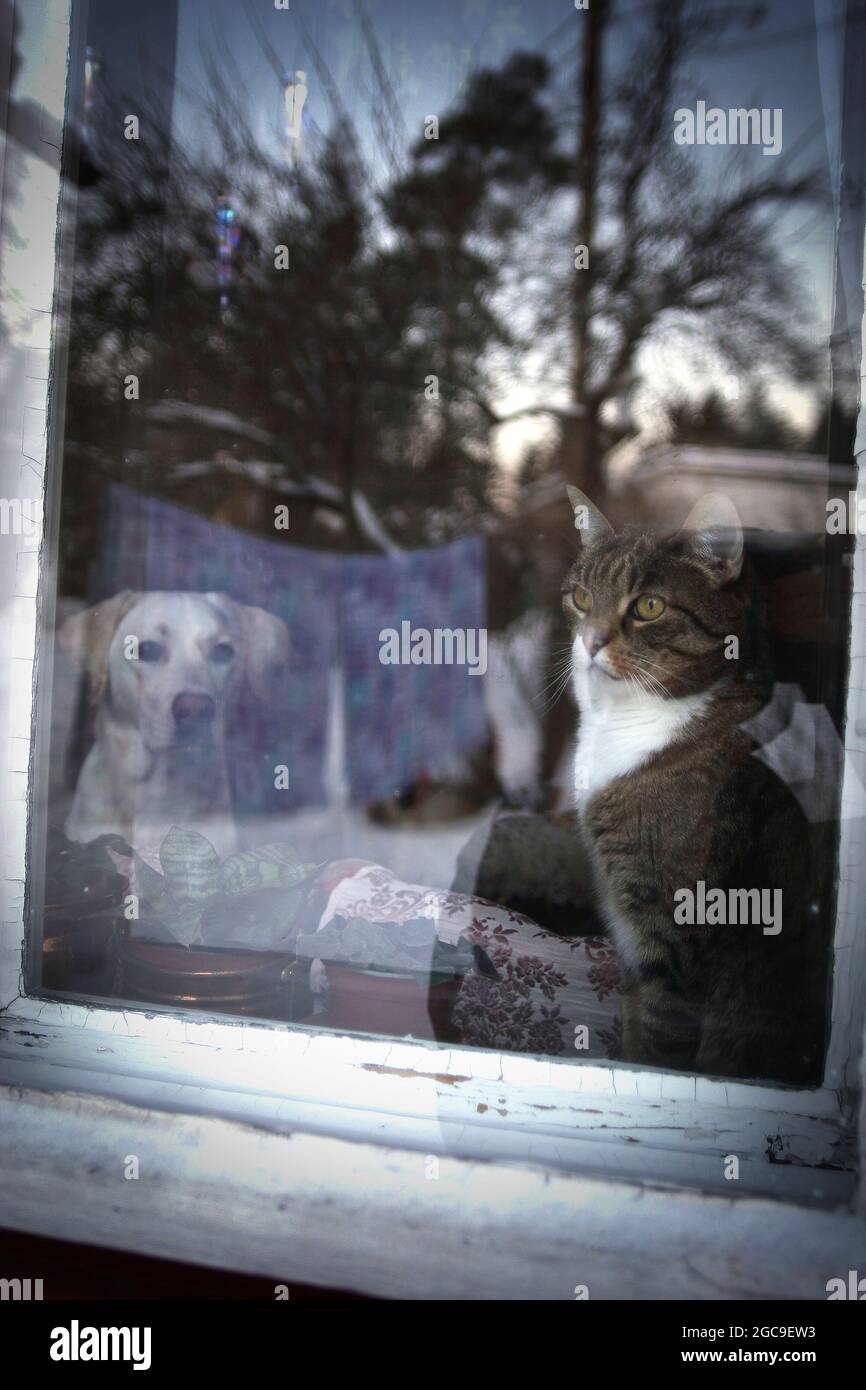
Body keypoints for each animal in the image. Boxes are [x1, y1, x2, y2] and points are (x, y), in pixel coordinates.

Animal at [561, 489, 828, 1084]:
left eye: (649, 607)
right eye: (581, 597)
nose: (589, 642)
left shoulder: (671, 939)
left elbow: (659, 1047)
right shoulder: (634, 950)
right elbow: (636, 1028)